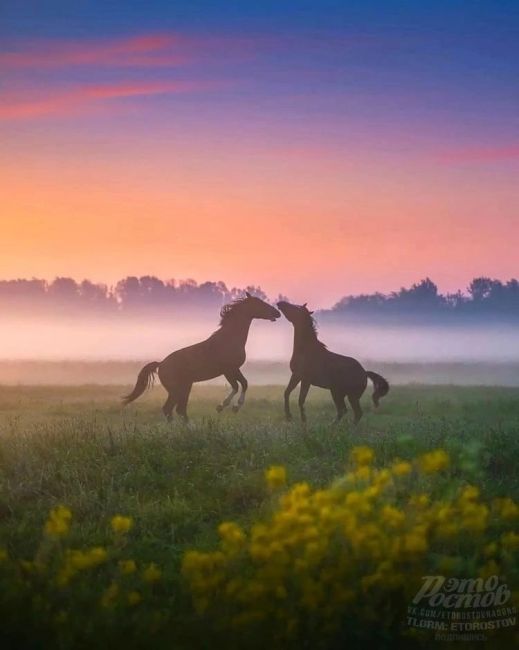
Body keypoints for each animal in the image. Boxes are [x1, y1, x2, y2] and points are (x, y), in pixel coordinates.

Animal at [123, 294, 280, 420]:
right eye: (259, 303)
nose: (277, 313)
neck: (229, 339)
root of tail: (160, 364)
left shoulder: (233, 369)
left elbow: (243, 383)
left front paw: (228, 406)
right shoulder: (229, 370)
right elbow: (238, 385)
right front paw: (227, 406)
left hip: (185, 387)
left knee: (177, 410)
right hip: (176, 390)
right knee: (171, 409)